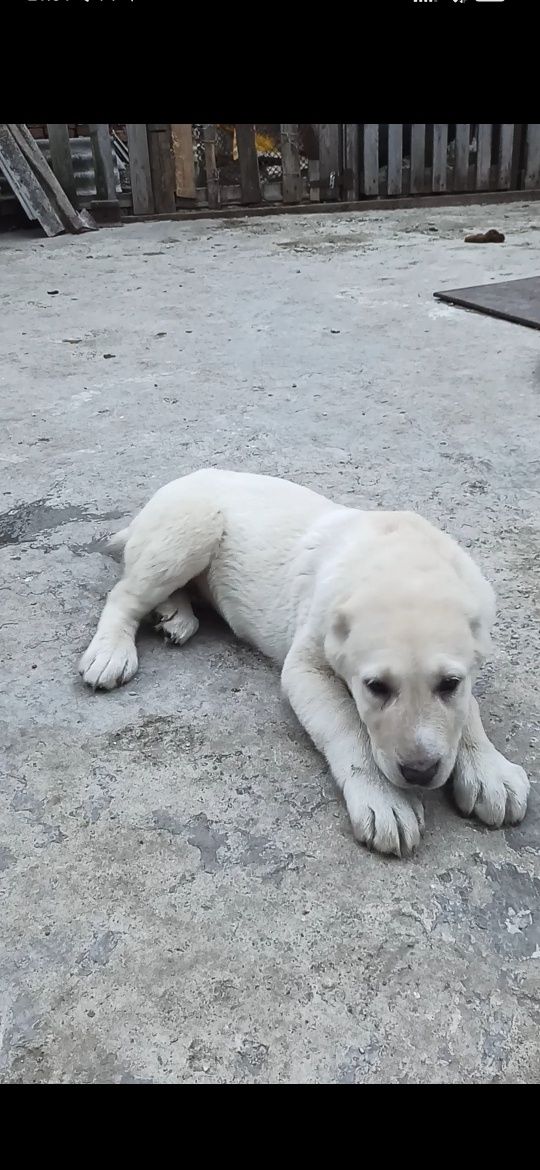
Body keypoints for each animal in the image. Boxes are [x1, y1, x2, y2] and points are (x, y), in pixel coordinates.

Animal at [78, 467, 528, 861]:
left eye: (449, 683)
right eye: (376, 688)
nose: (419, 771)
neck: (403, 563)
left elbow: (468, 710)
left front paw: (490, 772)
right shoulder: (309, 660)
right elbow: (346, 723)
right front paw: (385, 799)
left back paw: (175, 616)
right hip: (190, 527)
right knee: (125, 594)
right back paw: (112, 651)